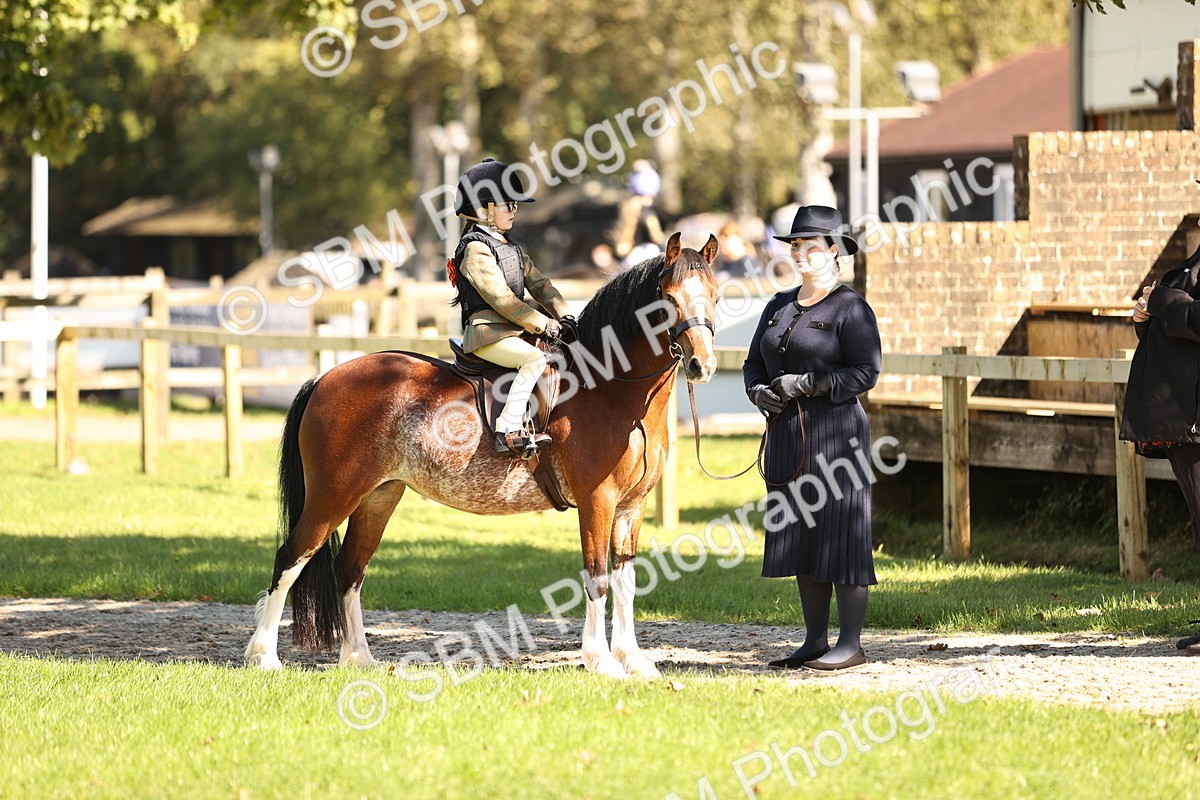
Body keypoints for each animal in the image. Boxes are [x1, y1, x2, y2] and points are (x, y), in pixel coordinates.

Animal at [243, 231, 720, 678]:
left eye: (715, 295)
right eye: (669, 299)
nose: (702, 365)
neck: (611, 389)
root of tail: (325, 377)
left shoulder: (630, 508)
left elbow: (625, 582)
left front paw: (633, 660)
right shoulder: (597, 502)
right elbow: (597, 577)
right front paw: (601, 661)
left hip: (378, 497)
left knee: (349, 570)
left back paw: (360, 658)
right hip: (333, 496)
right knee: (290, 559)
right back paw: (264, 656)